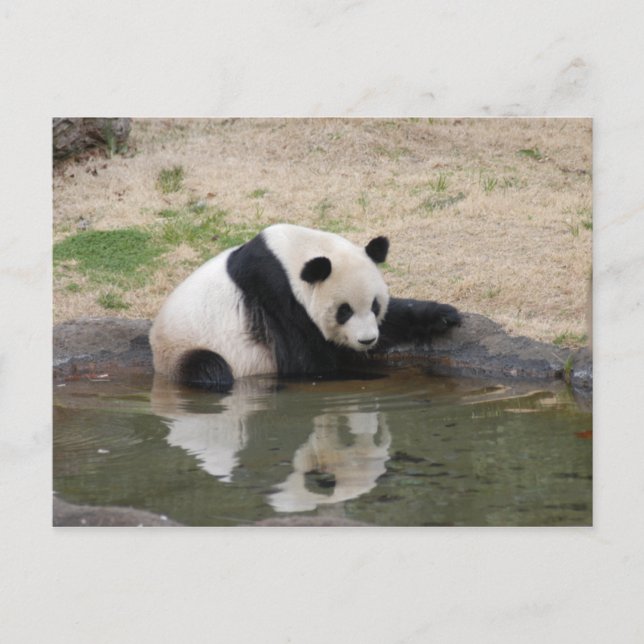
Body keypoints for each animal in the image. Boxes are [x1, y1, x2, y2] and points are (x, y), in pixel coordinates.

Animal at [150, 223, 460, 391]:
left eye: (374, 306)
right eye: (344, 311)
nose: (367, 340)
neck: (291, 253)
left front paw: (443, 316)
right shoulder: (275, 296)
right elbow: (306, 364)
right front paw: (362, 374)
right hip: (182, 349)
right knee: (210, 369)